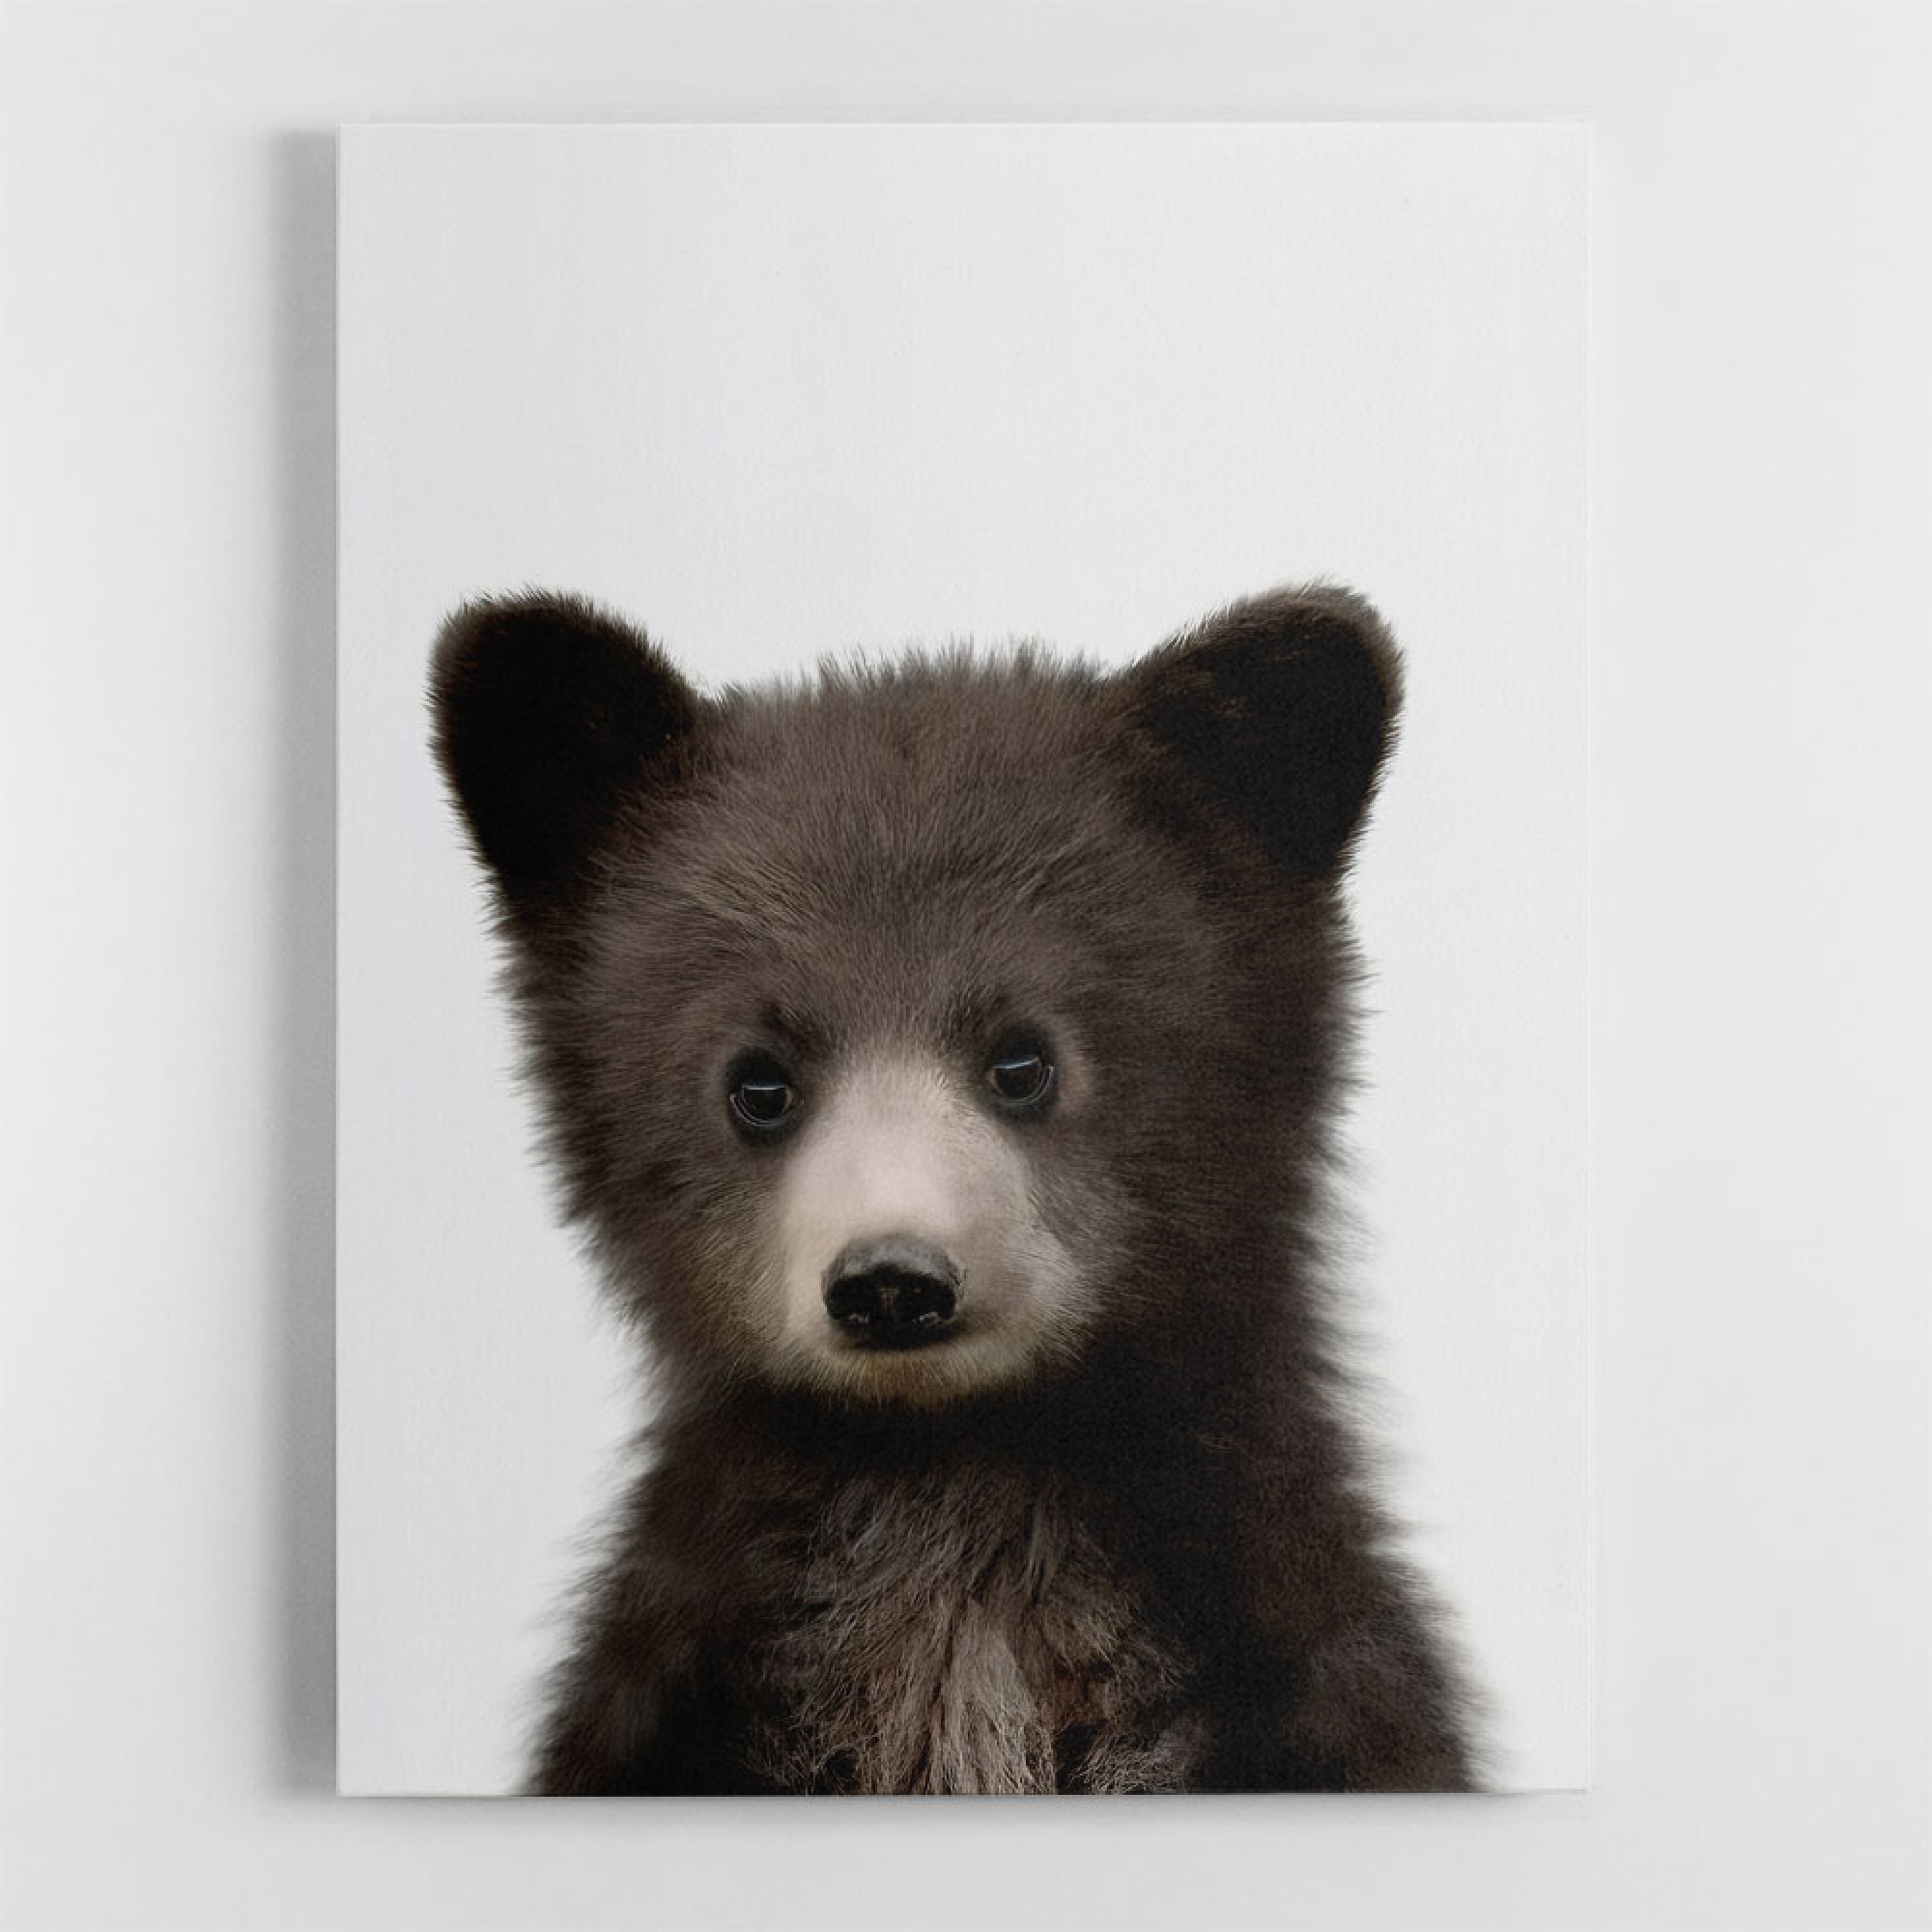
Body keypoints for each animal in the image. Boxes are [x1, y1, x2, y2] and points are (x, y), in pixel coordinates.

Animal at [430, 583, 1481, 1795]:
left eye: (1022, 1059)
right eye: (758, 1081)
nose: (892, 1280)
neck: (950, 1471)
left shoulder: (1304, 1689)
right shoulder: (668, 1704)